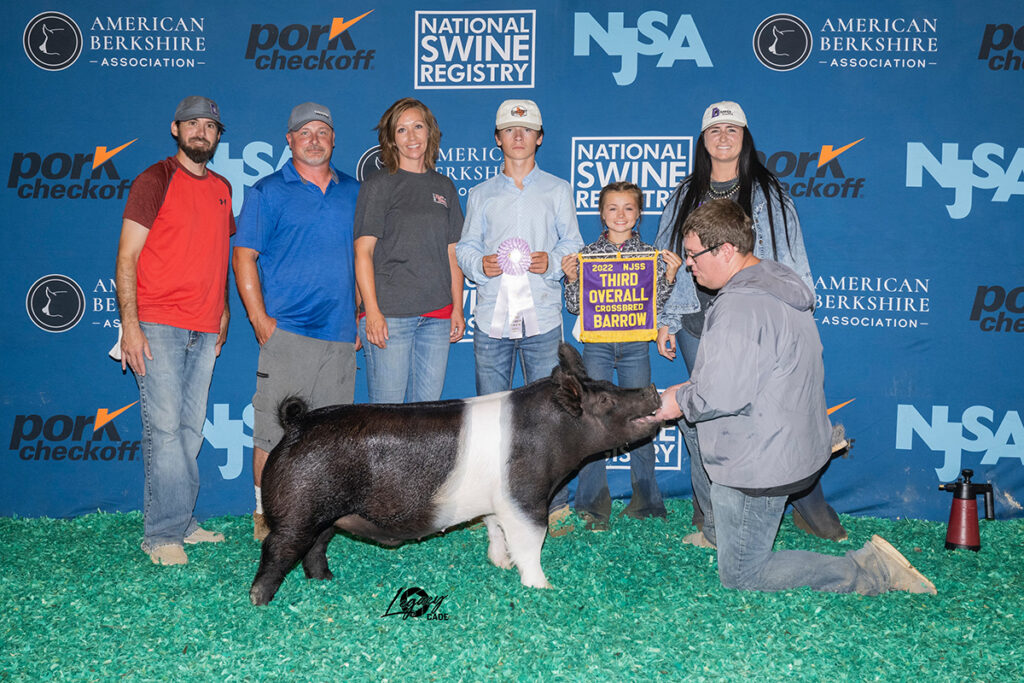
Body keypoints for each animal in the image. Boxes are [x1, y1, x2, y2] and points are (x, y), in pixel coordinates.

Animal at [249, 343, 663, 605]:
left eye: (609, 384)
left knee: (315, 545)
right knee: (278, 546)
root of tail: (297, 423)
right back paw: (260, 601)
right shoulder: (526, 494)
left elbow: (495, 528)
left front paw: (501, 564)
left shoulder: (498, 500)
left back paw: (325, 580)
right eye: (606, 401)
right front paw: (543, 587)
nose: (653, 389)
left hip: (326, 512)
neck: (555, 434)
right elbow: (531, 539)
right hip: (300, 508)